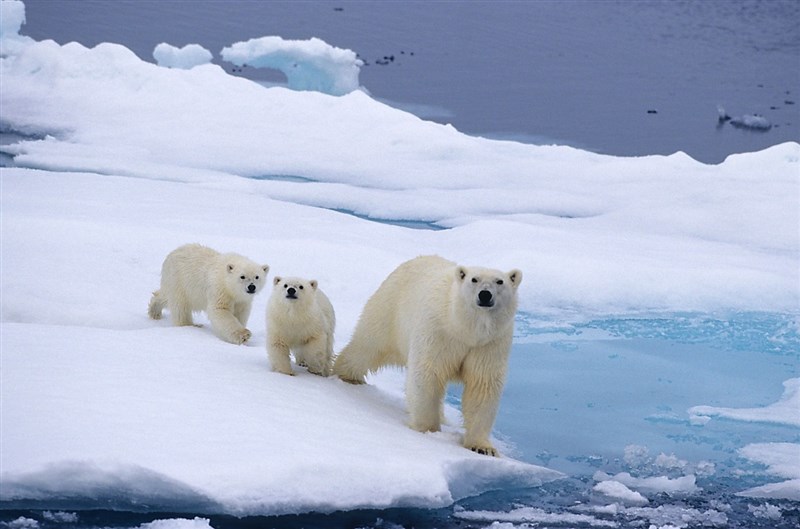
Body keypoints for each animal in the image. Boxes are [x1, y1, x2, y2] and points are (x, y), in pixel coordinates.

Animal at [334, 254, 520, 456]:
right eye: (474, 279)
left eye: (500, 281)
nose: (485, 294)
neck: (464, 328)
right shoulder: (438, 331)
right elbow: (428, 373)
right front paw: (428, 430)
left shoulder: (490, 343)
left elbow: (482, 384)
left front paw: (482, 447)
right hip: (390, 310)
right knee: (367, 345)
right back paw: (347, 375)